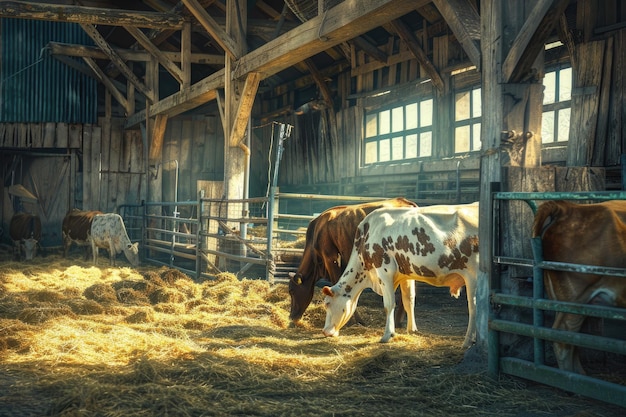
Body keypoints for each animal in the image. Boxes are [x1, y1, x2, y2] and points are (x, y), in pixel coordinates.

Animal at [322, 202, 478, 348]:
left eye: (327, 304)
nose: (325, 331)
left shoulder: (384, 270)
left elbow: (389, 304)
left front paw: (387, 335)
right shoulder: (406, 274)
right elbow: (409, 300)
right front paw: (412, 330)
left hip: (473, 275)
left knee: (473, 307)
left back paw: (468, 341)